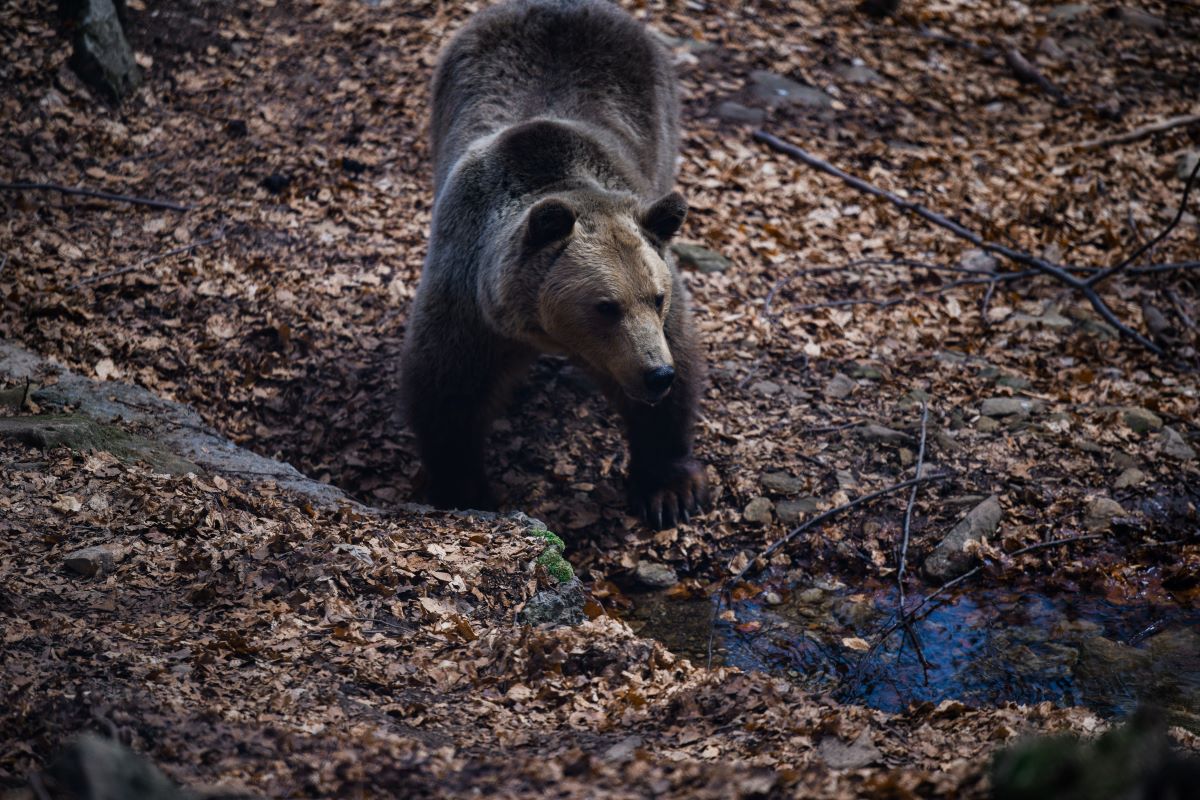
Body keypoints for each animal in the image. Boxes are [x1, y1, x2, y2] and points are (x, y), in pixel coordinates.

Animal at [400, 0, 700, 532]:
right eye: (606, 306)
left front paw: (667, 490)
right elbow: (447, 390)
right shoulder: (468, 297)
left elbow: (677, 376)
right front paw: (464, 489)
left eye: (657, 297)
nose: (654, 374)